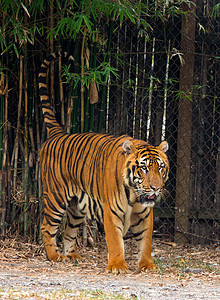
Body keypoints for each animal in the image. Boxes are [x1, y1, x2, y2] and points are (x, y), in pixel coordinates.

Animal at [38, 51, 169, 274]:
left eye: (160, 168)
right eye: (143, 168)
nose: (155, 188)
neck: (134, 195)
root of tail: (58, 133)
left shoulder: (145, 214)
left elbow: (146, 241)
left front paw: (147, 265)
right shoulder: (111, 211)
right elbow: (115, 240)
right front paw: (117, 266)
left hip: (77, 207)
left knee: (69, 230)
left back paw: (71, 255)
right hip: (56, 198)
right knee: (47, 226)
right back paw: (54, 256)